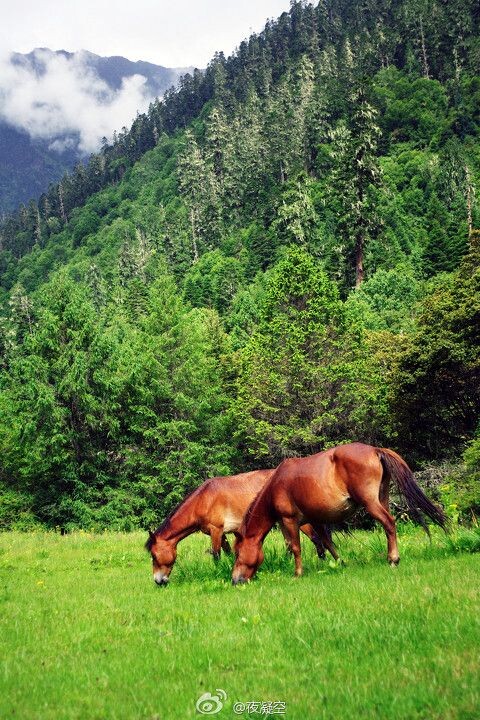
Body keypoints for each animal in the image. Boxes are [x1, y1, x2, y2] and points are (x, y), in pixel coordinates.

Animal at [146, 466, 338, 584]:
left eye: (154, 556)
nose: (158, 581)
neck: (204, 499)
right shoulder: (221, 534)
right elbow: (228, 552)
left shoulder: (216, 531)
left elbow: (216, 555)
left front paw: (218, 571)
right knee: (291, 545)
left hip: (299, 522)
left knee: (316, 540)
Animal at [232, 444, 446, 584]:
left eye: (237, 554)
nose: (235, 580)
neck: (276, 484)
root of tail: (375, 450)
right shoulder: (315, 520)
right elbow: (327, 542)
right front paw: (340, 563)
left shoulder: (289, 520)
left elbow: (295, 547)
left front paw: (298, 573)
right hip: (382, 497)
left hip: (370, 503)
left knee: (389, 522)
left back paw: (393, 559)